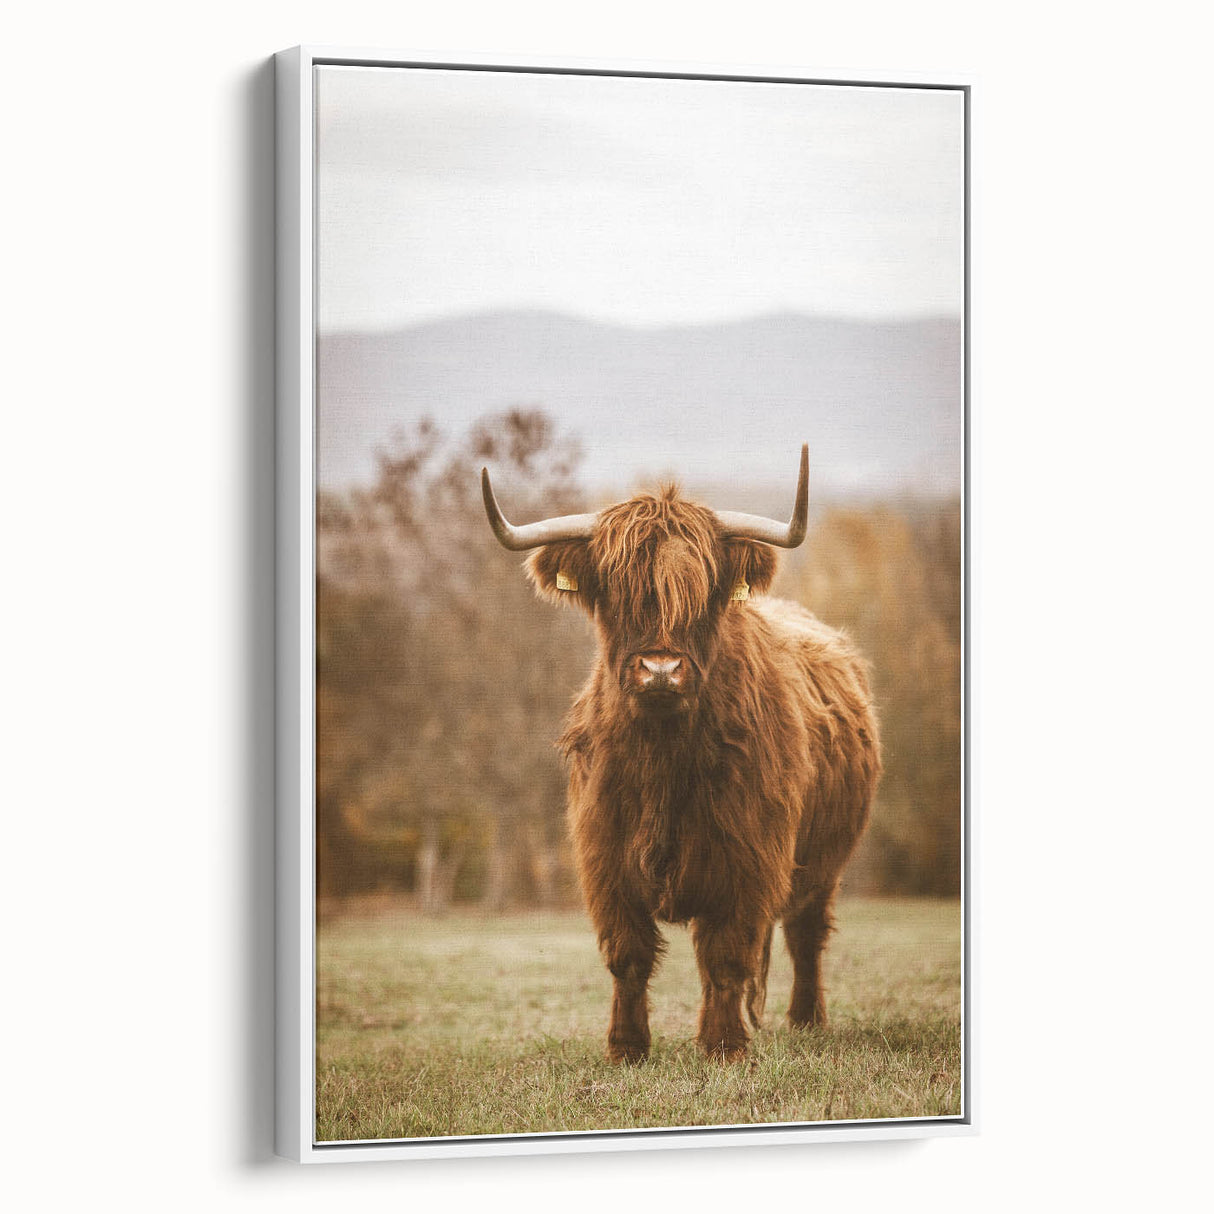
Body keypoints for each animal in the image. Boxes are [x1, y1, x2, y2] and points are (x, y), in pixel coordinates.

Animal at [481, 446, 881, 1062]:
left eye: (703, 593)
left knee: (805, 933)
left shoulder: (748, 856)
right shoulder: (605, 857)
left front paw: (723, 1046)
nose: (661, 669)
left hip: (824, 861)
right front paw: (626, 1047)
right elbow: (628, 955)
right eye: (615, 591)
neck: (662, 757)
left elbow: (726, 953)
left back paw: (806, 1021)